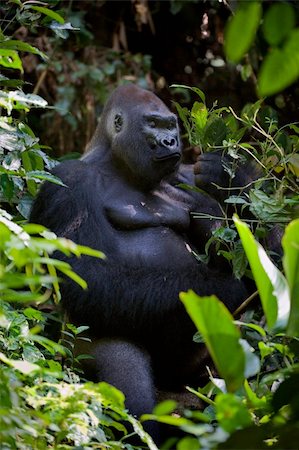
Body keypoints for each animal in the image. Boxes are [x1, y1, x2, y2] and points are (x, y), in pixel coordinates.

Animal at [30, 83, 251, 440]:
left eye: (170, 126)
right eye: (153, 124)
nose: (171, 141)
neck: (116, 164)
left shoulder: (186, 175)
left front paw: (230, 174)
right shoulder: (67, 181)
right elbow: (90, 278)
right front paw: (226, 289)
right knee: (129, 388)